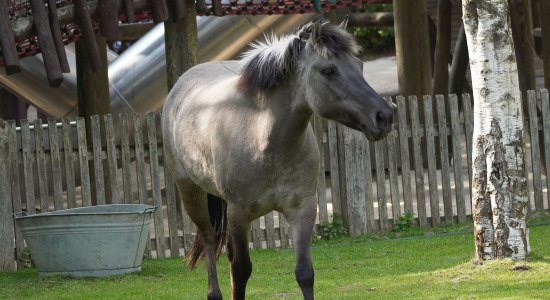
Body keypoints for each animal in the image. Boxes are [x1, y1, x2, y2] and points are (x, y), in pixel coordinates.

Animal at [162, 17, 394, 298]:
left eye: (359, 66)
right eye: (329, 71)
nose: (384, 116)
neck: (264, 139)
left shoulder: (303, 209)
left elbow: (305, 273)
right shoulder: (239, 214)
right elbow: (241, 270)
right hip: (191, 193)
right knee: (209, 239)